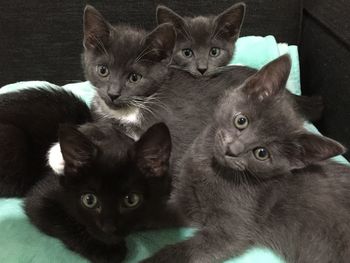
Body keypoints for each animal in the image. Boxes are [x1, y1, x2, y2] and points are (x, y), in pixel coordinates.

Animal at [23, 122, 174, 263]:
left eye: (131, 200)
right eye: (89, 200)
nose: (108, 228)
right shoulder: (41, 196)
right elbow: (60, 218)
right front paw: (105, 249)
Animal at [142, 54, 350, 262]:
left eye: (262, 153)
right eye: (241, 121)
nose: (232, 149)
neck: (210, 169)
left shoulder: (232, 230)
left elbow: (187, 250)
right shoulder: (185, 197)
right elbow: (155, 210)